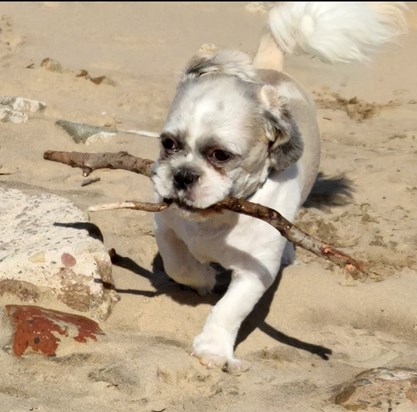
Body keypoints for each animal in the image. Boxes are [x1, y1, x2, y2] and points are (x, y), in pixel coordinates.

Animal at [150, 2, 406, 370]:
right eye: (169, 144)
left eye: (221, 155)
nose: (183, 175)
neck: (217, 218)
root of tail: (269, 71)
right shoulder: (165, 225)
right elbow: (178, 264)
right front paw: (203, 278)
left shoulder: (254, 271)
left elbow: (229, 310)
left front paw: (213, 349)